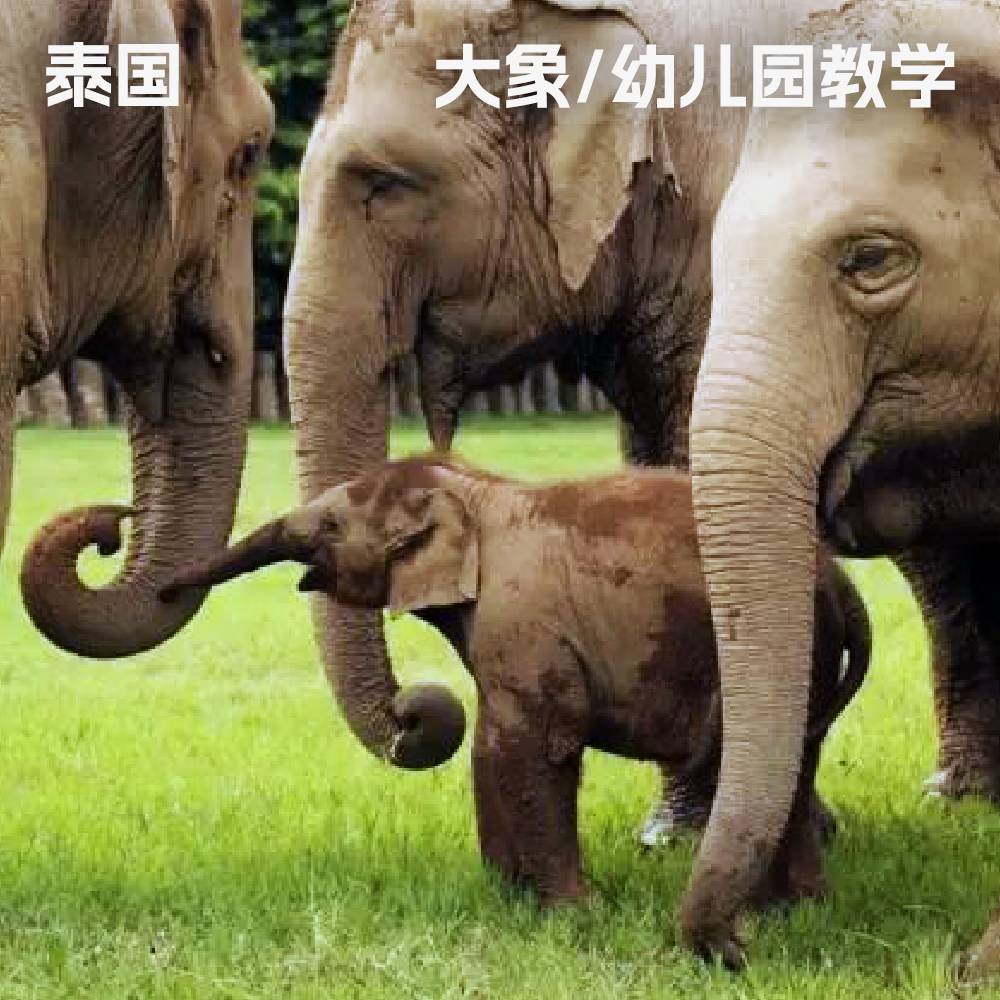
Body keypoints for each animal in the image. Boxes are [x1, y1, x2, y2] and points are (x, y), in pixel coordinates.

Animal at [161, 454, 872, 907]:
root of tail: (836, 576)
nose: (165, 588)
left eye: (333, 526)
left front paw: (571, 914)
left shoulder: (523, 618)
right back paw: (800, 908)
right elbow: (492, 743)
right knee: (798, 757)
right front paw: (508, 897)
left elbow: (539, 744)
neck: (472, 488)